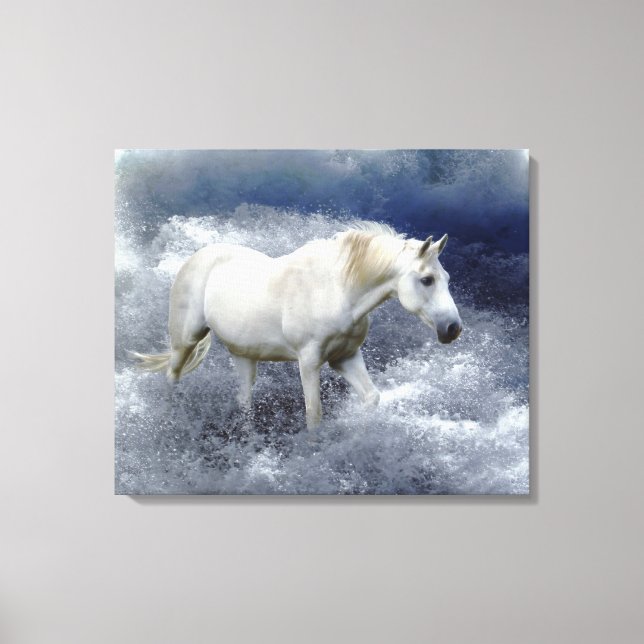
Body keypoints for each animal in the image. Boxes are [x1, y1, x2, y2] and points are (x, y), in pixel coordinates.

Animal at [133, 222, 462, 429]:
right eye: (426, 280)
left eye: (446, 278)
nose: (453, 328)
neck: (336, 290)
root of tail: (197, 257)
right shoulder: (309, 362)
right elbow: (314, 415)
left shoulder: (346, 358)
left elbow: (371, 398)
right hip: (186, 338)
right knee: (172, 374)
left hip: (243, 354)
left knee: (243, 399)